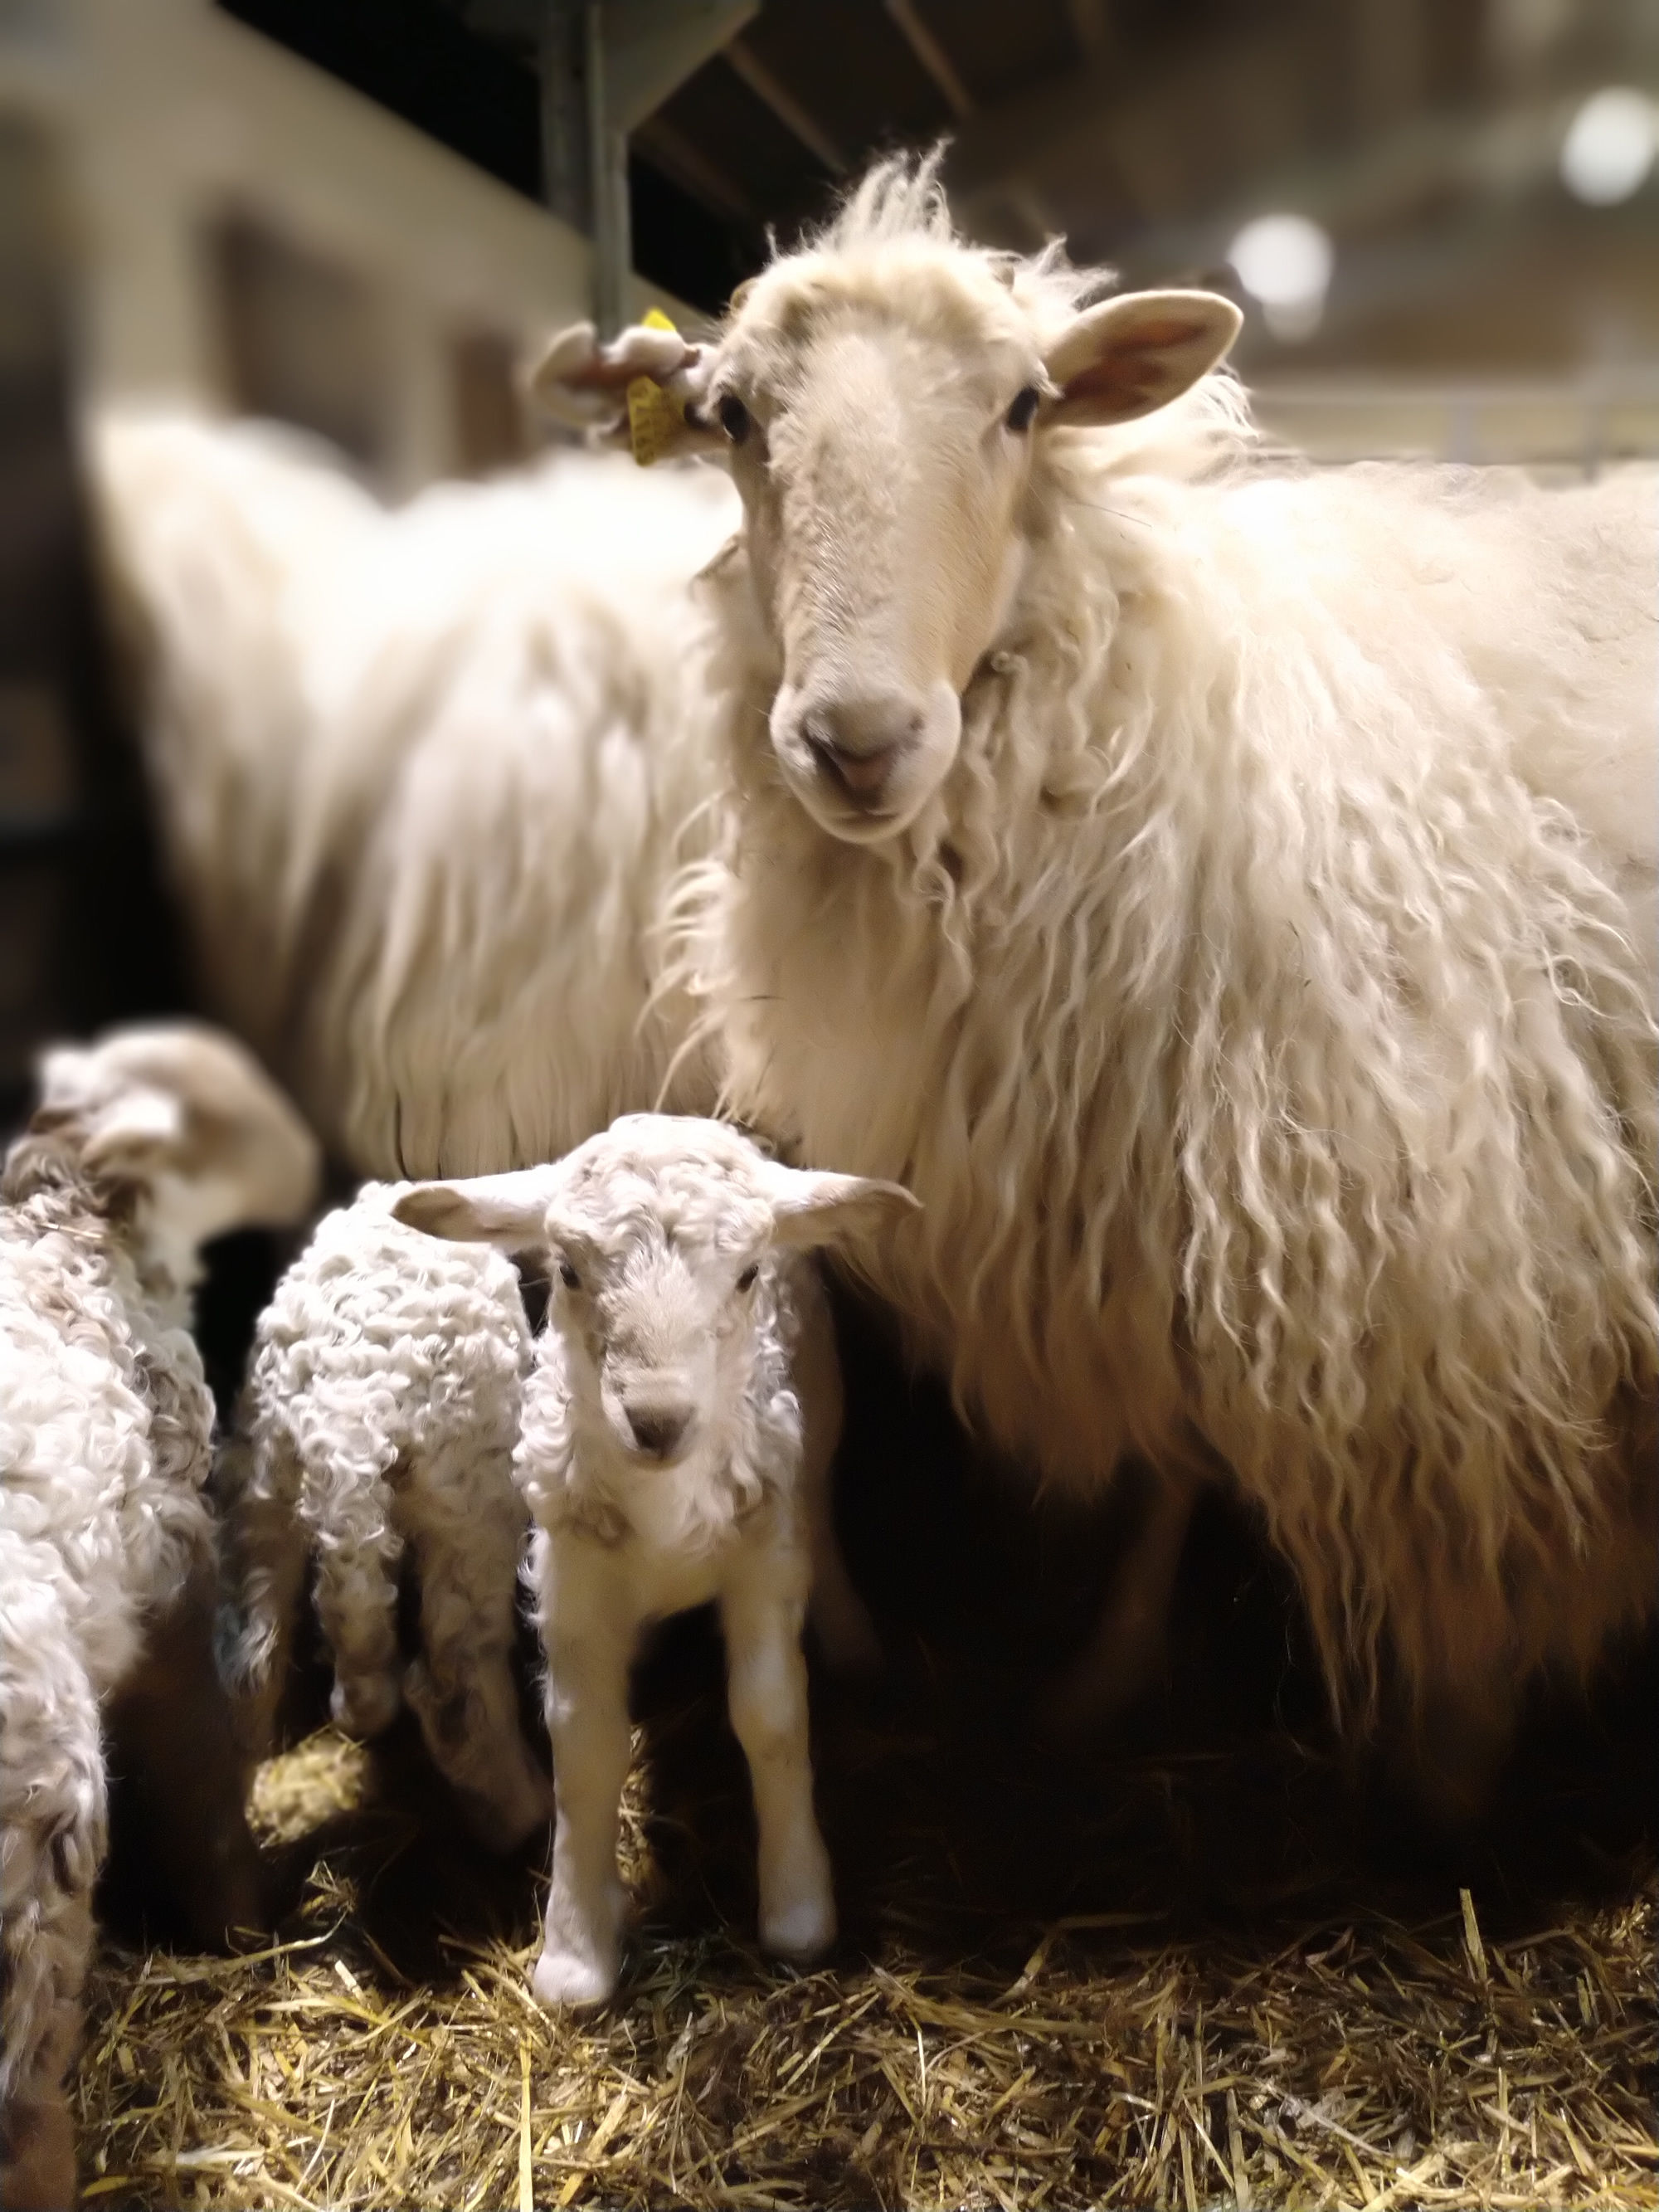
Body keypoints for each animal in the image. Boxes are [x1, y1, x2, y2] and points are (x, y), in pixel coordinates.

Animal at [0, 1021, 320, 2212]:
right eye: (221, 1112)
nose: (309, 1161)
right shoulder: (175, 1568)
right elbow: (204, 1769)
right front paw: (252, 1910)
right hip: (41, 1849)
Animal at [211, 1194, 552, 1849]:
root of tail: (348, 1409)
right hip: (471, 1509)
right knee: (453, 1683)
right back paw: (517, 1815)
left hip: (262, 1483)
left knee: (250, 1662)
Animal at [396, 1114, 916, 2000]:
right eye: (569, 1270)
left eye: (747, 1275)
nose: (658, 1418)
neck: (665, 1509)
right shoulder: (572, 1571)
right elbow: (584, 1744)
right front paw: (575, 1950)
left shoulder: (762, 1554)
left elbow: (772, 1717)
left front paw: (799, 1909)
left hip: (817, 1417)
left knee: (821, 1513)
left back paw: (852, 1640)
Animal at [542, 155, 1659, 1814]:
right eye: (733, 416)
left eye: (1024, 406)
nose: (856, 741)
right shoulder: (1115, 1201)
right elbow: (1159, 1463)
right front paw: (1101, 1679)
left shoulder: (1368, 1208)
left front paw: (1436, 1749)